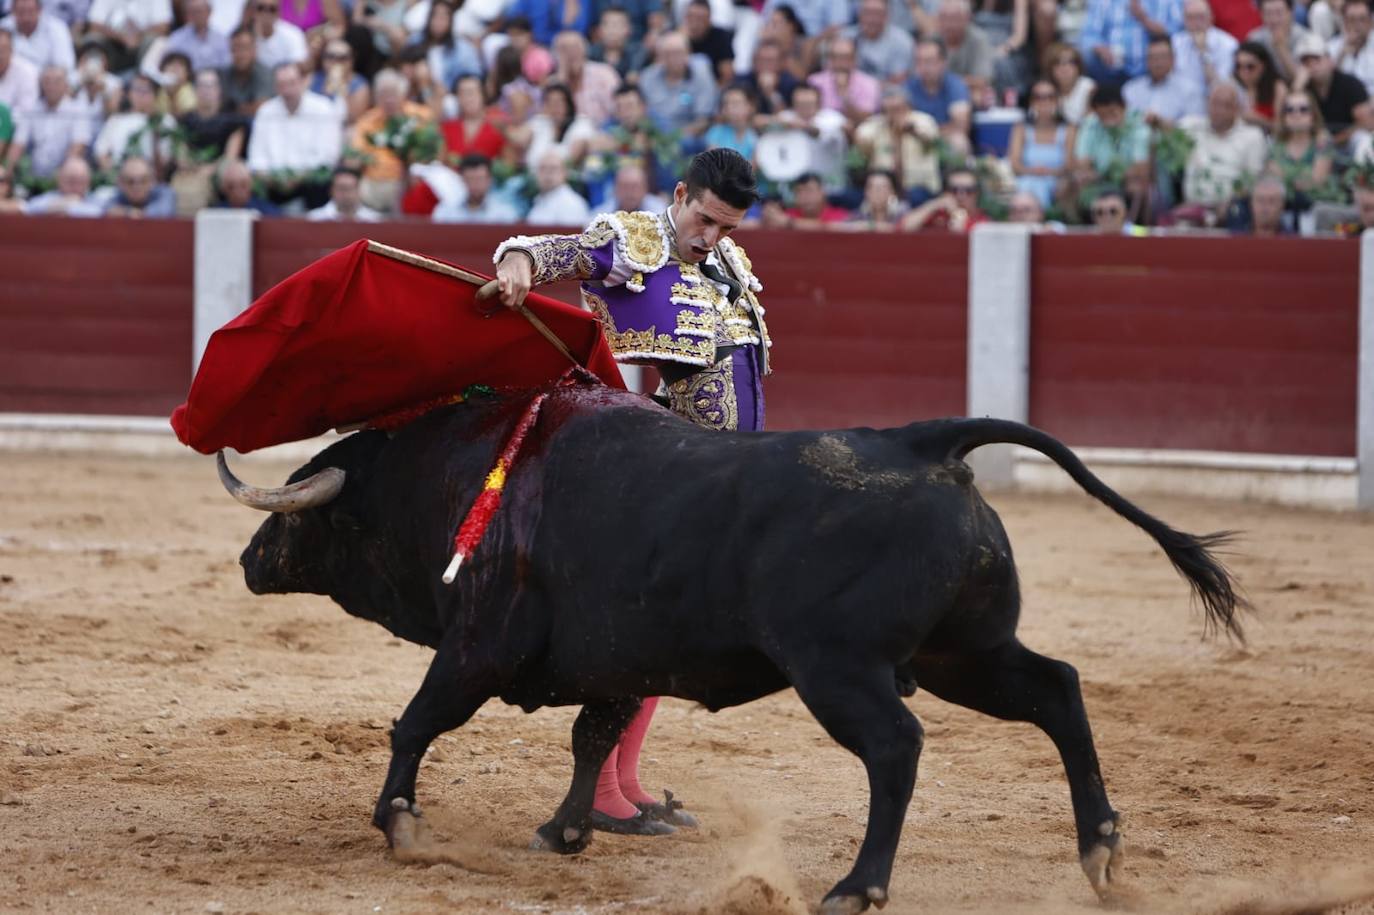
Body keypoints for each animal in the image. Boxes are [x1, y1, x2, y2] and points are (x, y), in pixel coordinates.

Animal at [228, 381, 1247, 906]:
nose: (246, 557)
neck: (455, 475)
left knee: (897, 746)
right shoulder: (615, 656)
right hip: (966, 651)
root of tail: (923, 443)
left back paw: (858, 884)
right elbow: (593, 734)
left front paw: (399, 822)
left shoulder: (479, 643)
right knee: (1058, 690)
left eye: (297, 515)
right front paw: (566, 829)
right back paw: (1102, 851)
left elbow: (416, 721)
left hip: (841, 668)